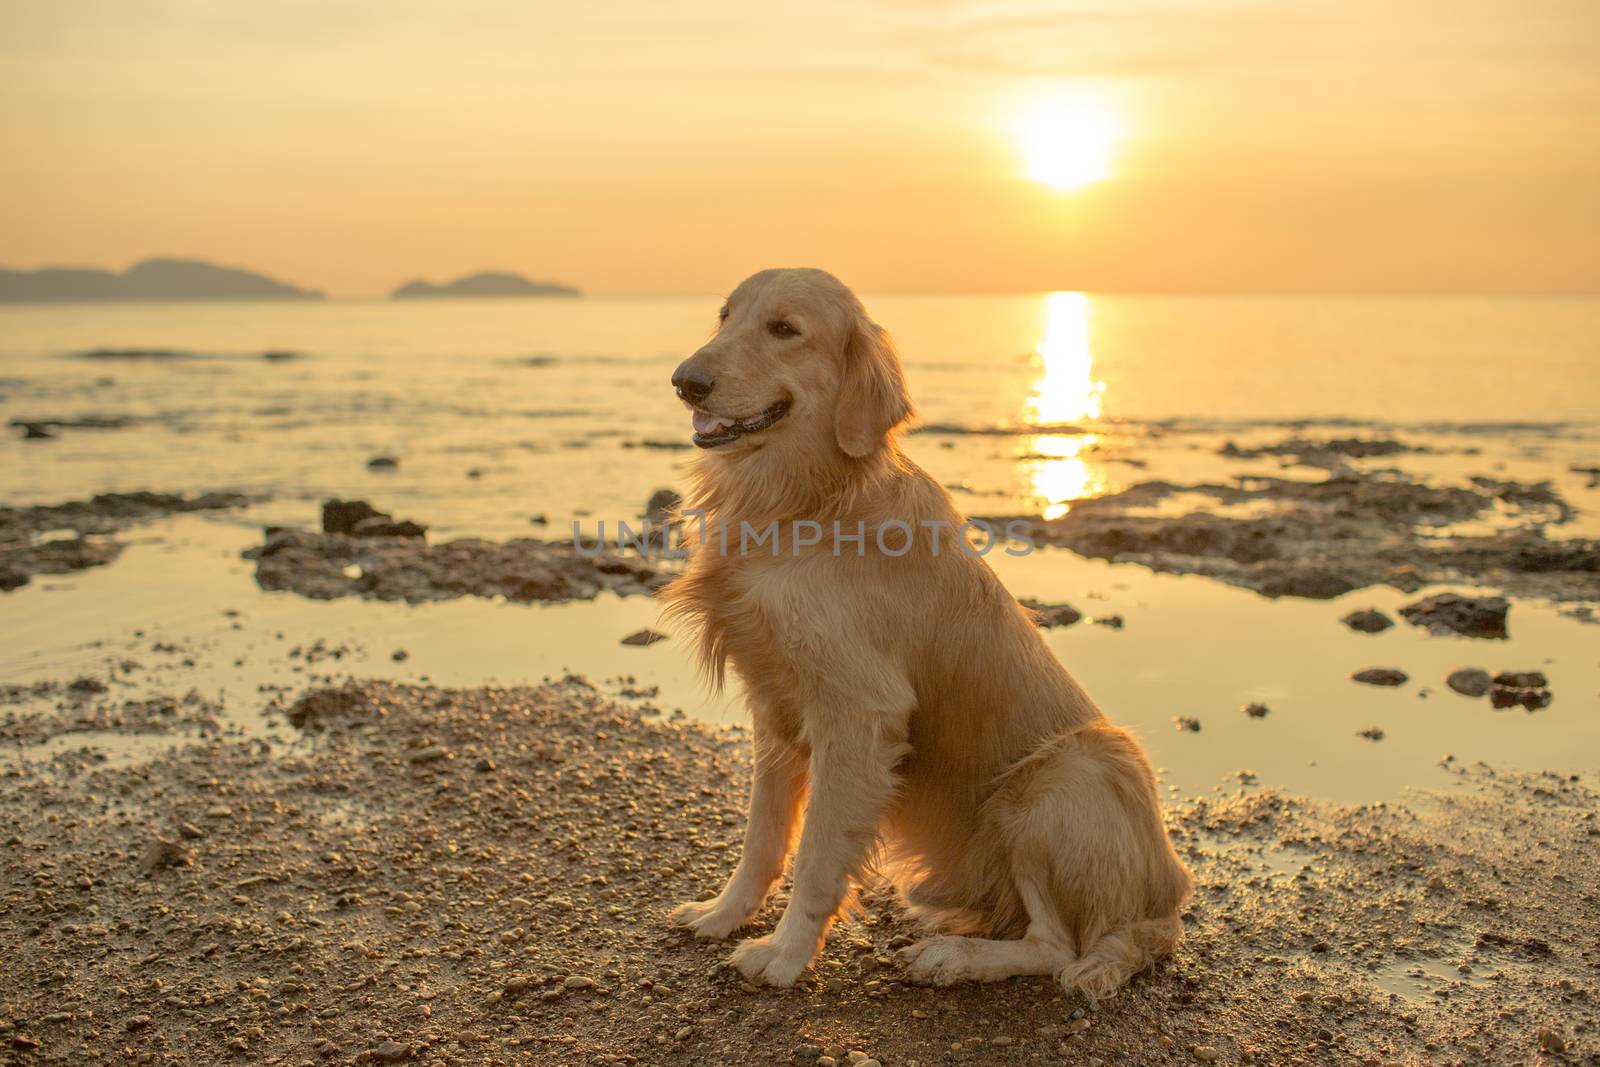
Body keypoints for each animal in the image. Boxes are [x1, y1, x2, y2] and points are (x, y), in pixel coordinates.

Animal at [659, 268, 1190, 1004]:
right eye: (725, 316)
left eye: (785, 329)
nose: (686, 381)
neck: (804, 501)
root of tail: (1166, 903)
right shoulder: (775, 707)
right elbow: (762, 838)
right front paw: (724, 913)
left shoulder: (858, 715)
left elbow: (817, 854)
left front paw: (787, 954)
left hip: (1058, 780)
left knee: (1056, 947)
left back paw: (954, 957)